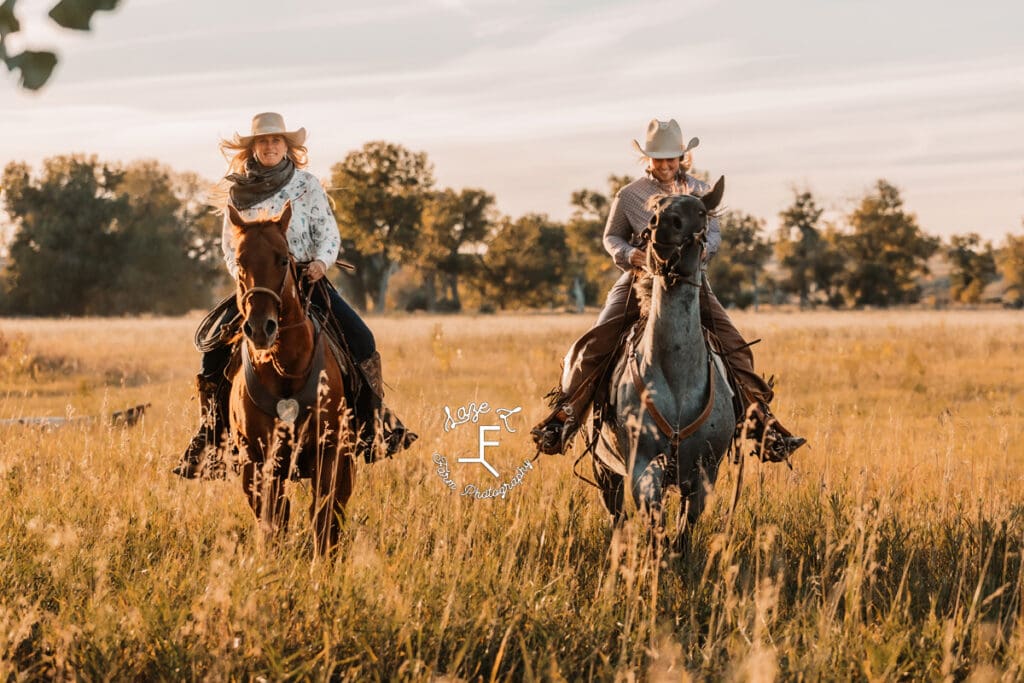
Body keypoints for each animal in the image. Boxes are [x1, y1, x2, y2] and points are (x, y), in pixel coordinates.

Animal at [226, 201, 354, 557]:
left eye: (283, 259)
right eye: (239, 262)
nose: (260, 329)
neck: (285, 369)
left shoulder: (329, 452)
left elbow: (323, 517)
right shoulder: (257, 459)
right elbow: (270, 519)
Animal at [593, 178, 737, 540]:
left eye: (700, 211)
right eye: (655, 208)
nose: (662, 226)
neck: (676, 377)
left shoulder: (704, 473)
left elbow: (683, 533)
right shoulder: (643, 468)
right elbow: (655, 528)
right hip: (604, 469)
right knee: (616, 516)